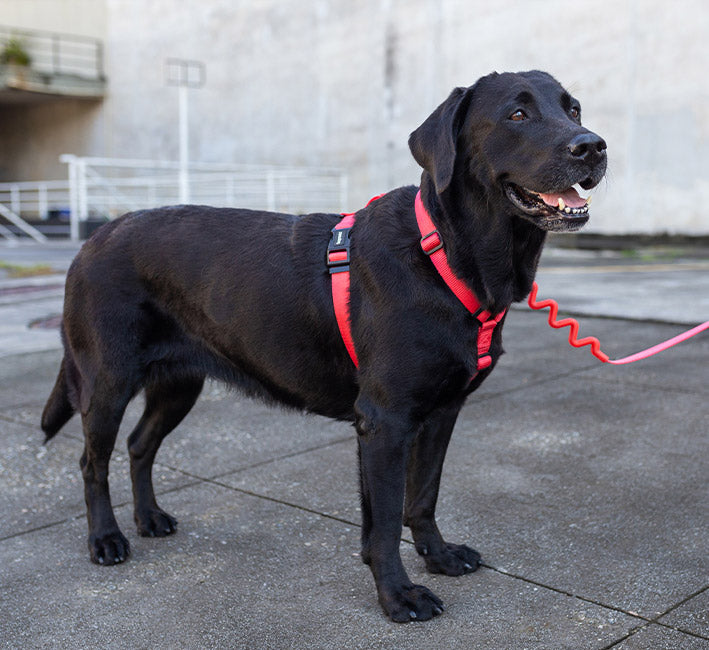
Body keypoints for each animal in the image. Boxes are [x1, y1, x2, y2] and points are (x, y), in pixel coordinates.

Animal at [42, 69, 604, 616]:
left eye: (574, 109)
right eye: (517, 113)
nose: (593, 146)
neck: (445, 254)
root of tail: (94, 237)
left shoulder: (443, 411)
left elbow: (423, 495)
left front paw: (438, 556)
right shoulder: (384, 420)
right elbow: (384, 521)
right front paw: (398, 596)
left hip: (180, 383)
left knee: (140, 445)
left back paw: (149, 518)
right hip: (107, 380)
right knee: (92, 462)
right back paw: (106, 539)